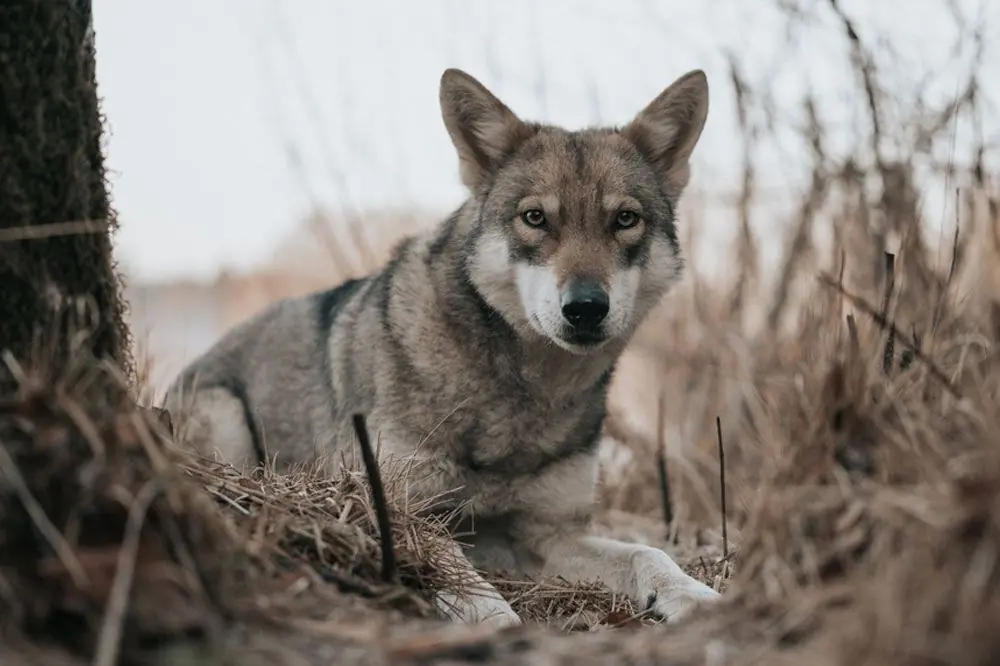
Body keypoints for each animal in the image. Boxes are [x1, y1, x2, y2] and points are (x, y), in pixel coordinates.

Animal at [164, 67, 718, 627]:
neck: (520, 392)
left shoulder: (547, 533)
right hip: (227, 420)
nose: (585, 308)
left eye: (625, 220)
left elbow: (649, 552)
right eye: (535, 218)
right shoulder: (395, 506)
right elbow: (458, 571)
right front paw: (494, 620)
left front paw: (692, 594)